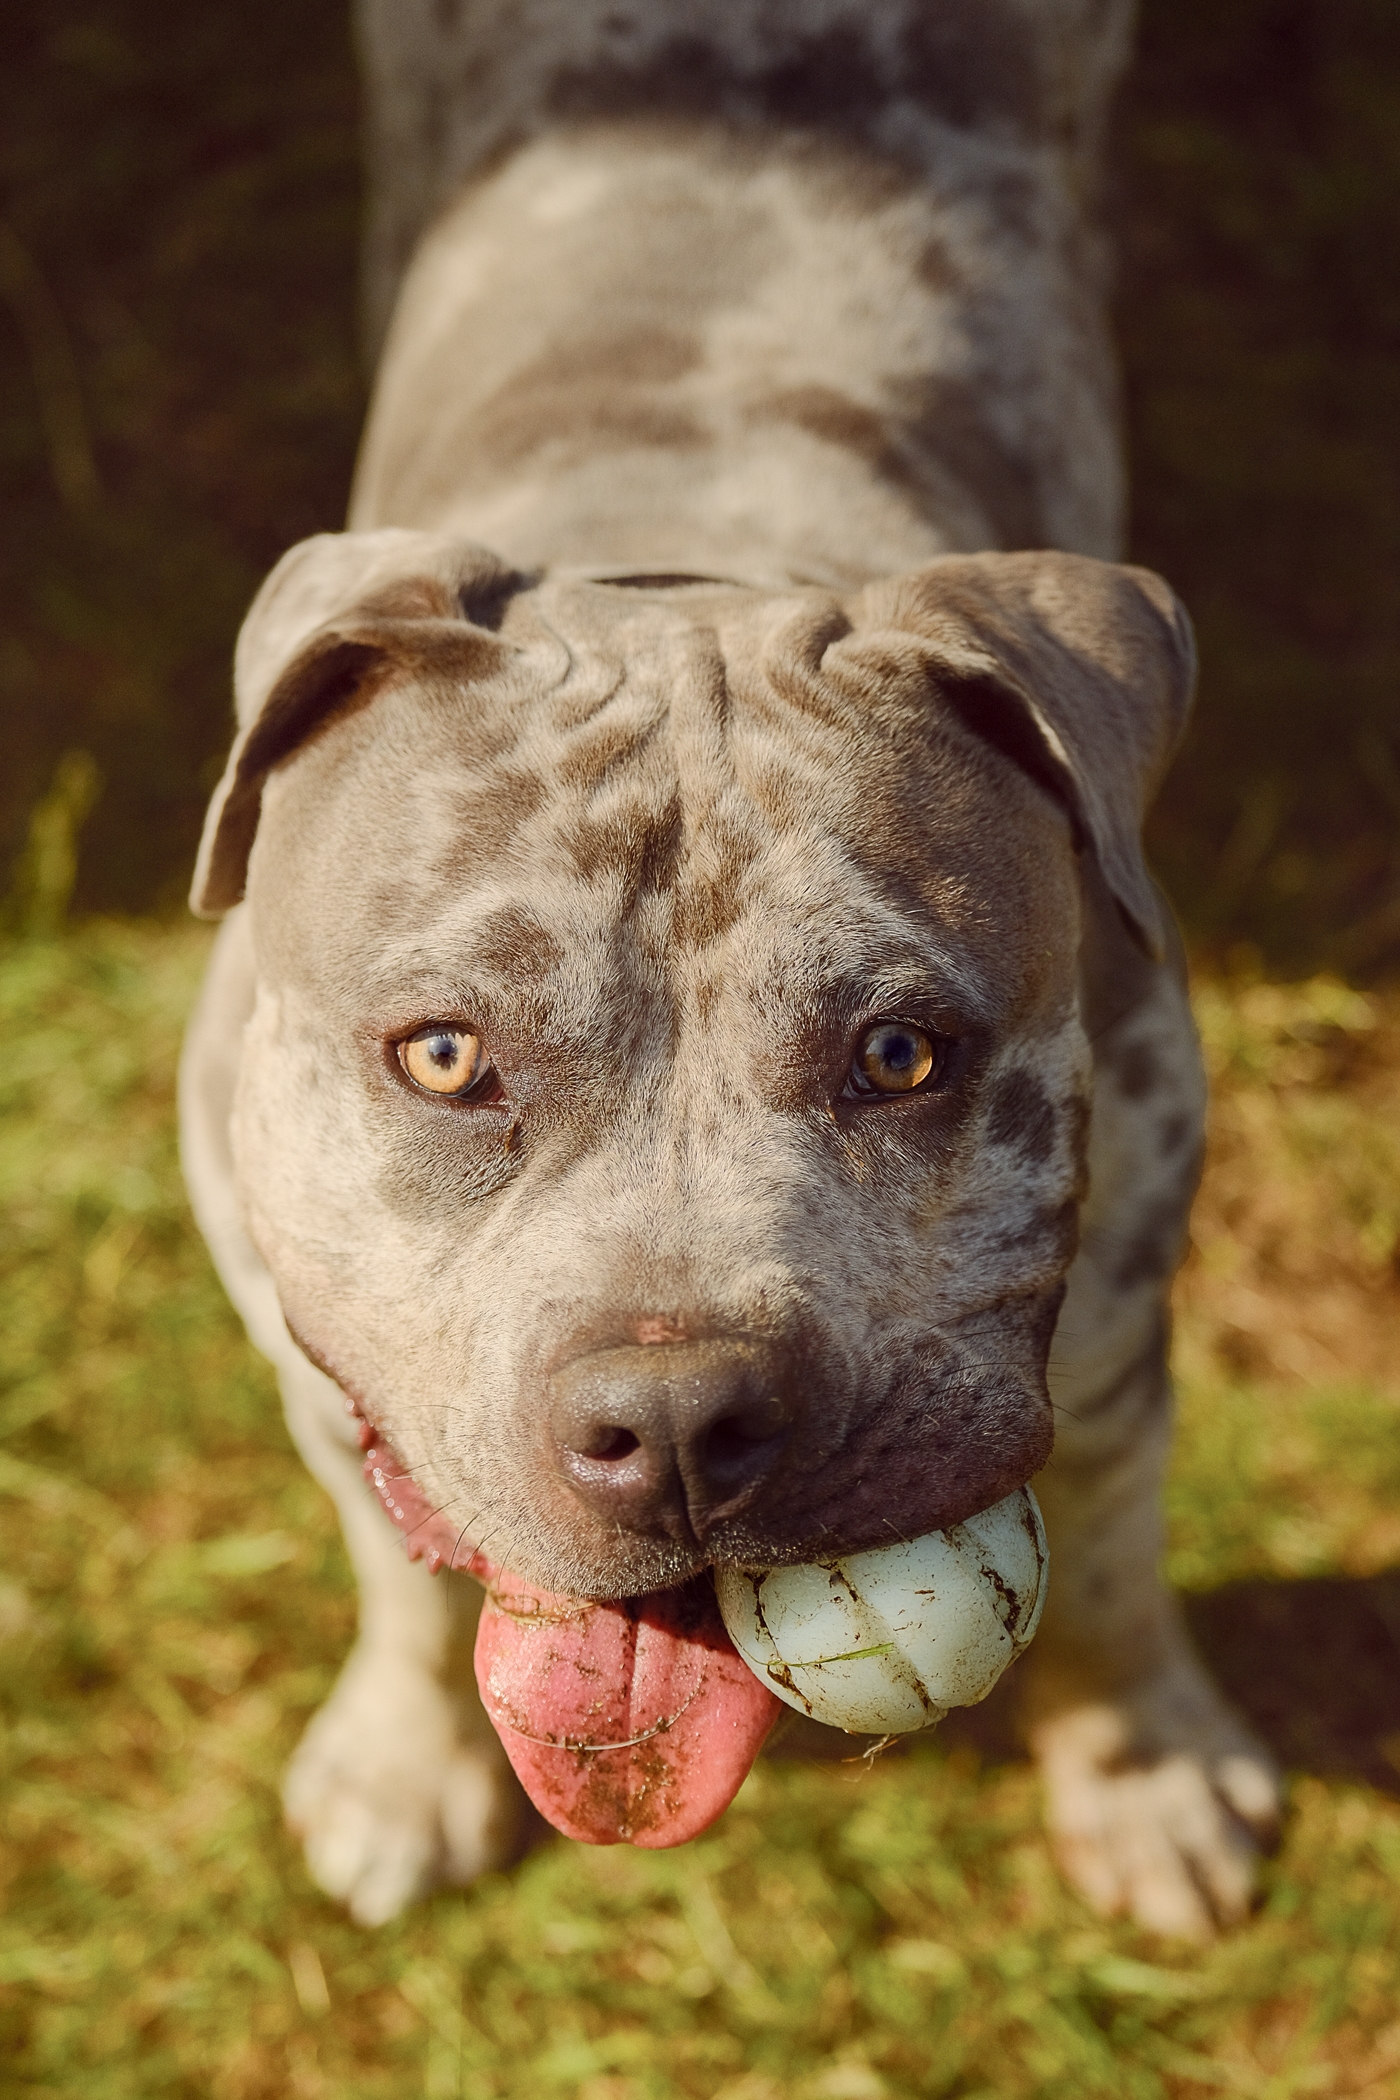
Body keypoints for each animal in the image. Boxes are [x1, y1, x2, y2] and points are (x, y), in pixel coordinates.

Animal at [178, 0, 1284, 1931]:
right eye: (444, 1057)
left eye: (904, 1055)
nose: (682, 1417)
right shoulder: (303, 1339)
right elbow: (395, 1560)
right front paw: (401, 1765)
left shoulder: (1120, 1312)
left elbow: (1118, 1550)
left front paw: (1143, 1772)